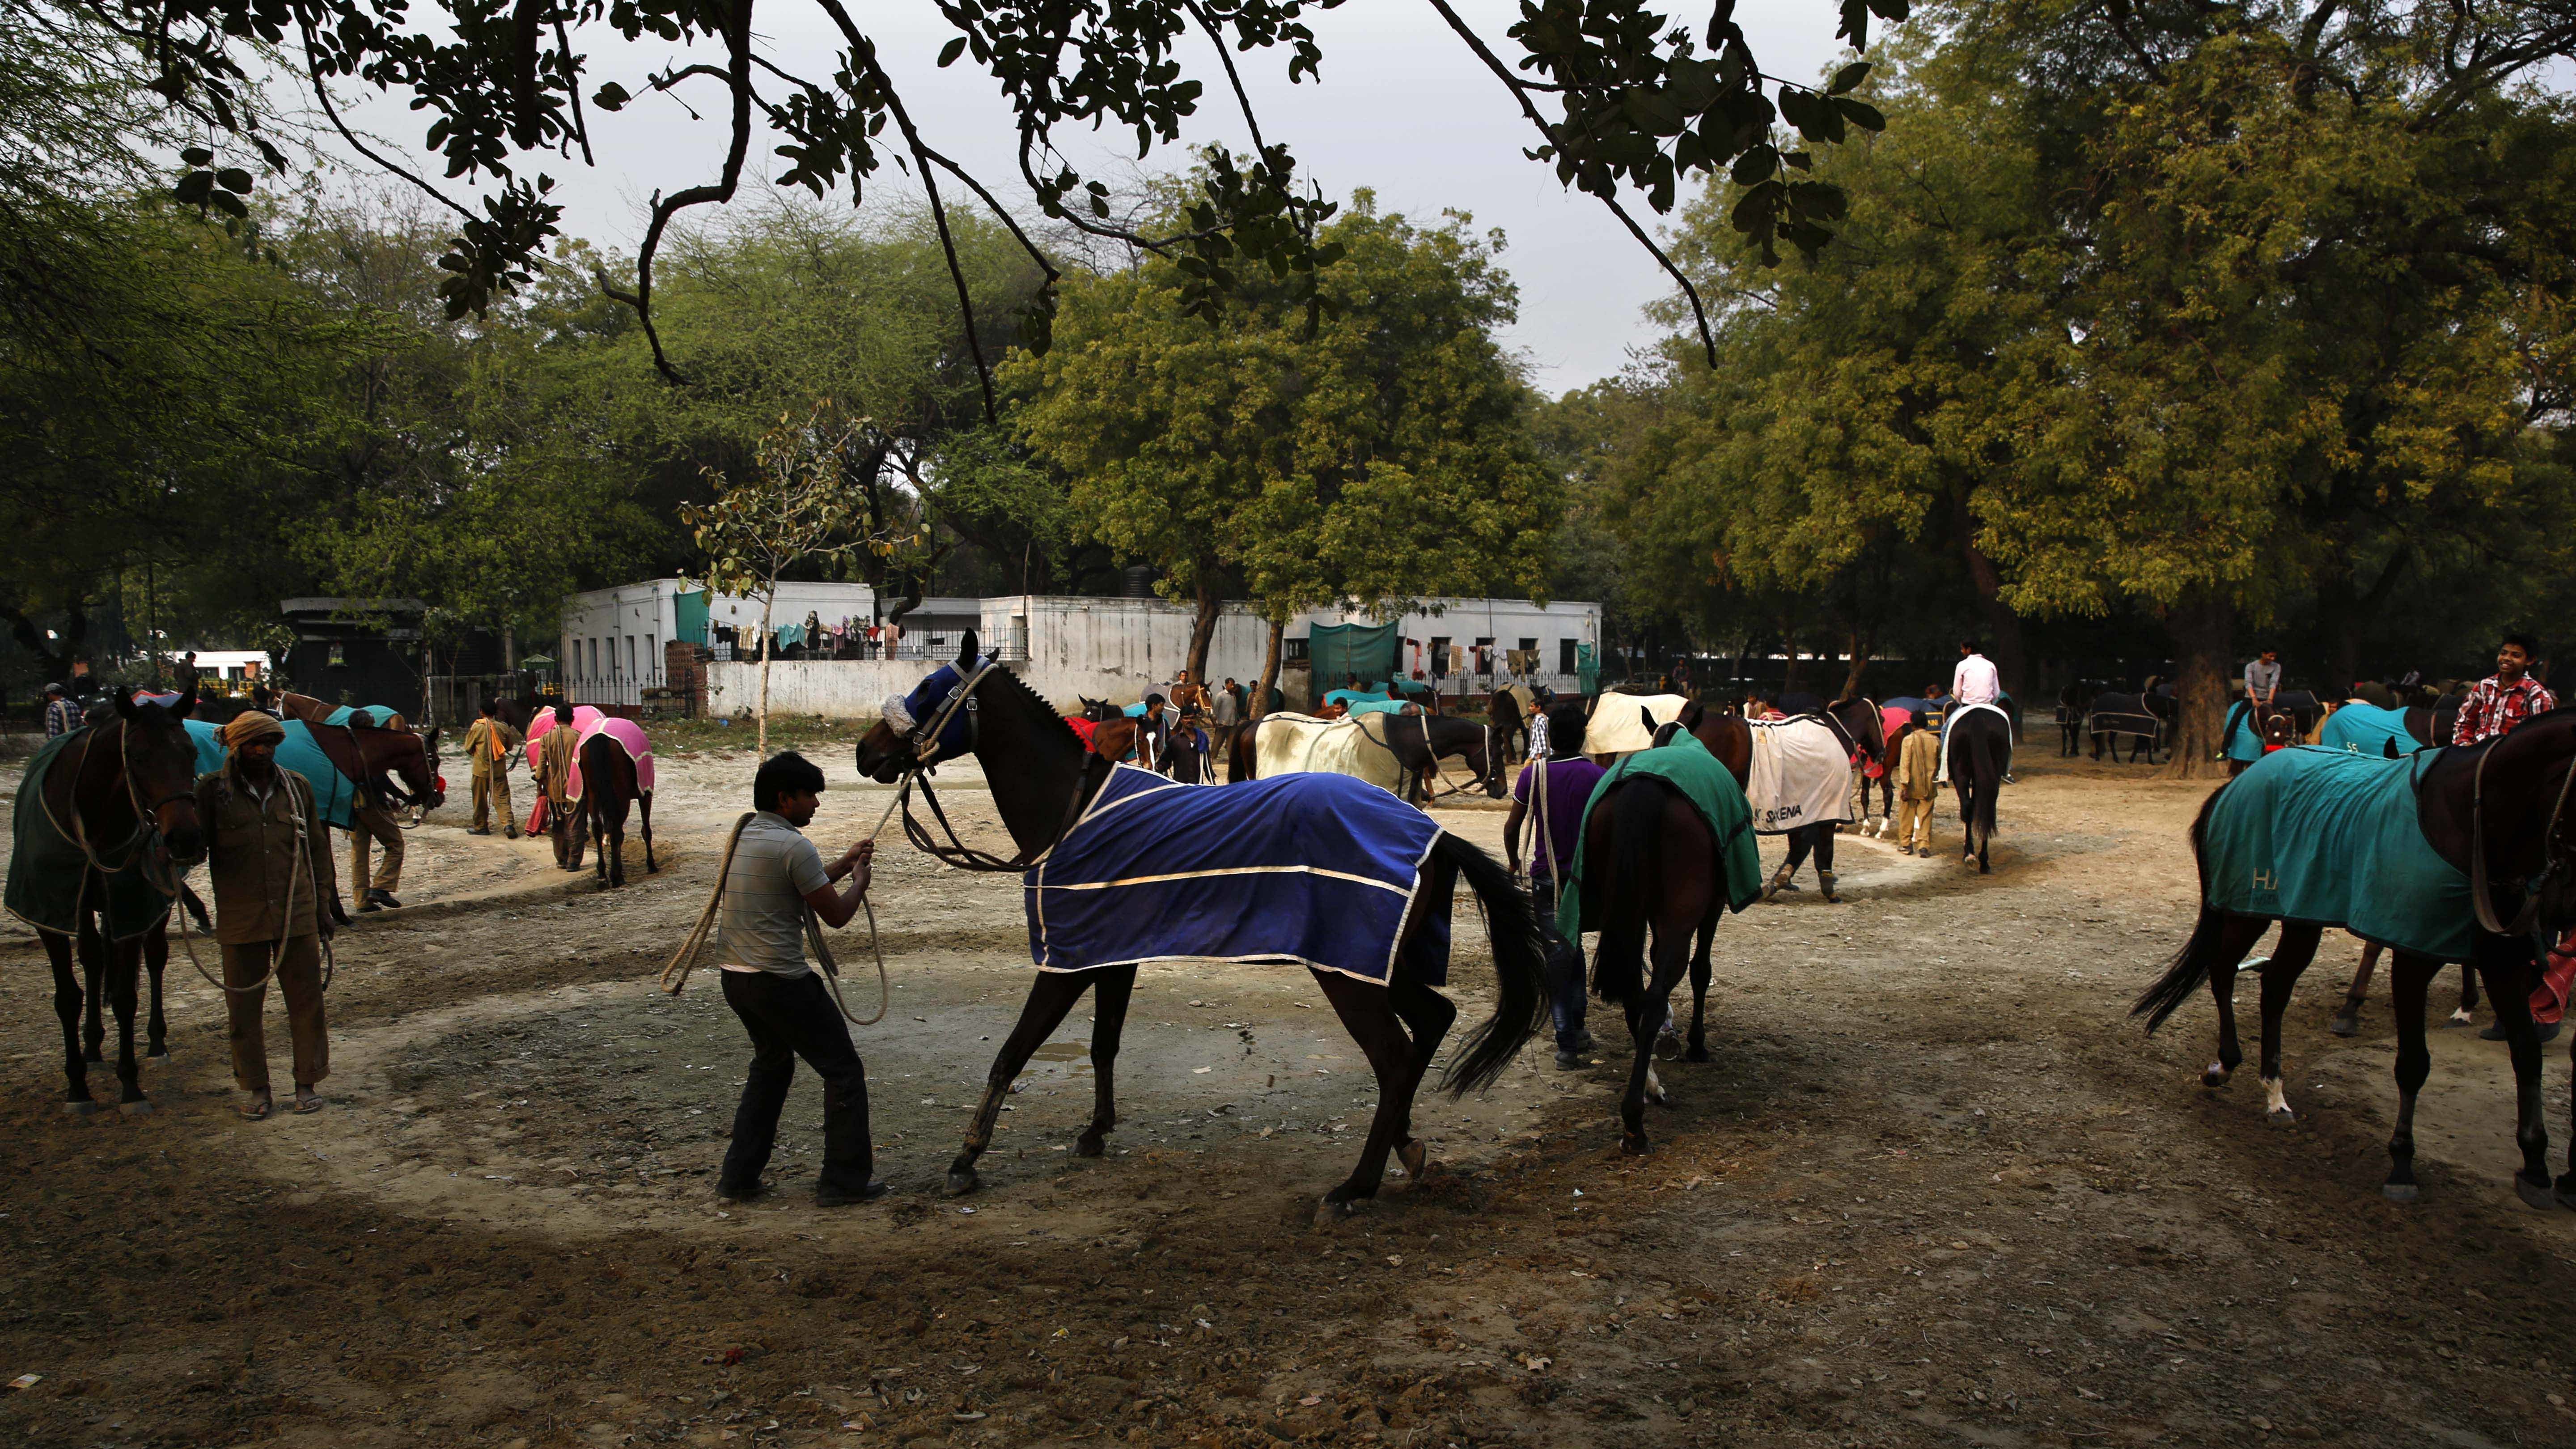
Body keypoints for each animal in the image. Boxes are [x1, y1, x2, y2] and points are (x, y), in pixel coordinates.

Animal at [7, 680, 208, 1109]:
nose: (186, 838)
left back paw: (156, 1043)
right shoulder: (51, 912)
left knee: (154, 959)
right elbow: (69, 995)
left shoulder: (132, 906)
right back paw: (92, 1048)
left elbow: (125, 996)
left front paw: (130, 1084)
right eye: (138, 756)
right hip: (86, 909)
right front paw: (77, 1085)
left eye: (191, 751)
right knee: (93, 960)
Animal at [855, 637, 1546, 1211]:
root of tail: (1433, 833)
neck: (1072, 809)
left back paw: (1356, 1185)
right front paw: (1095, 1129)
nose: (868, 751)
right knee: (1432, 1021)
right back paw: (1404, 1143)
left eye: (931, 691)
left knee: (1396, 1055)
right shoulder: (1111, 954)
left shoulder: (1065, 962)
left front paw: (966, 1156)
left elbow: (1012, 1053)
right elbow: (1103, 1043)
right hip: (1378, 962)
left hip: (1347, 970)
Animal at [1947, 701, 2009, 866]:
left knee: (1967, 807)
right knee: (1987, 807)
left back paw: (1969, 853)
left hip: (1961, 772)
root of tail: (1978, 718)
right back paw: (1984, 861)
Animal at [2123, 717, 2576, 1207]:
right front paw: (2402, 1162)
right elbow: (2413, 1063)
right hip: (2250, 909)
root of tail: (2237, 784)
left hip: (2301, 918)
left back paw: (2275, 1092)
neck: (2468, 823)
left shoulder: (2502, 962)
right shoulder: (2413, 958)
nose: (2565, 911)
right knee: (2224, 971)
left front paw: (2536, 1166)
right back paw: (2227, 1065)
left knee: (2274, 987)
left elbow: (2527, 1053)